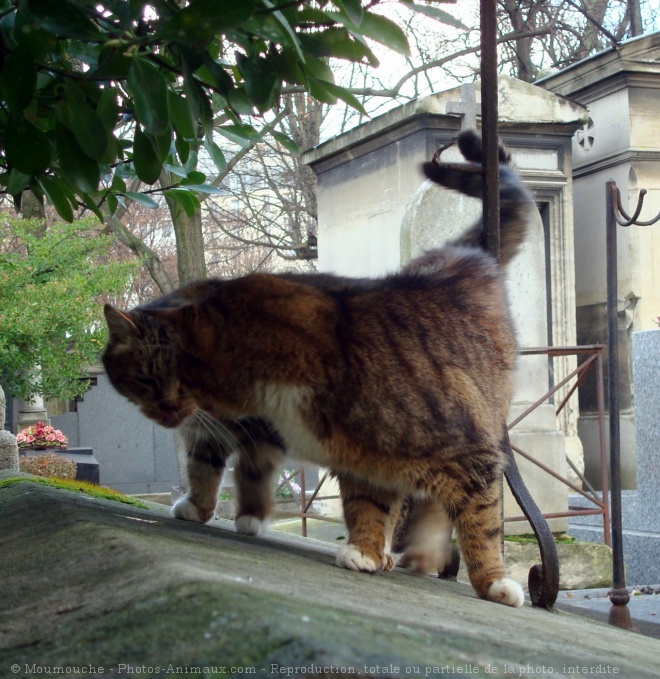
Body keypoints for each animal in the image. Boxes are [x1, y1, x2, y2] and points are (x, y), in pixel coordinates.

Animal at [103, 130, 536, 608]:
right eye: (144, 379)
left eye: (174, 377)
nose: (166, 410)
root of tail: (467, 253)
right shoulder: (362, 457)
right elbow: (364, 504)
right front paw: (366, 550)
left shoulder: (470, 453)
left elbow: (482, 524)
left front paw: (492, 583)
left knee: (437, 508)